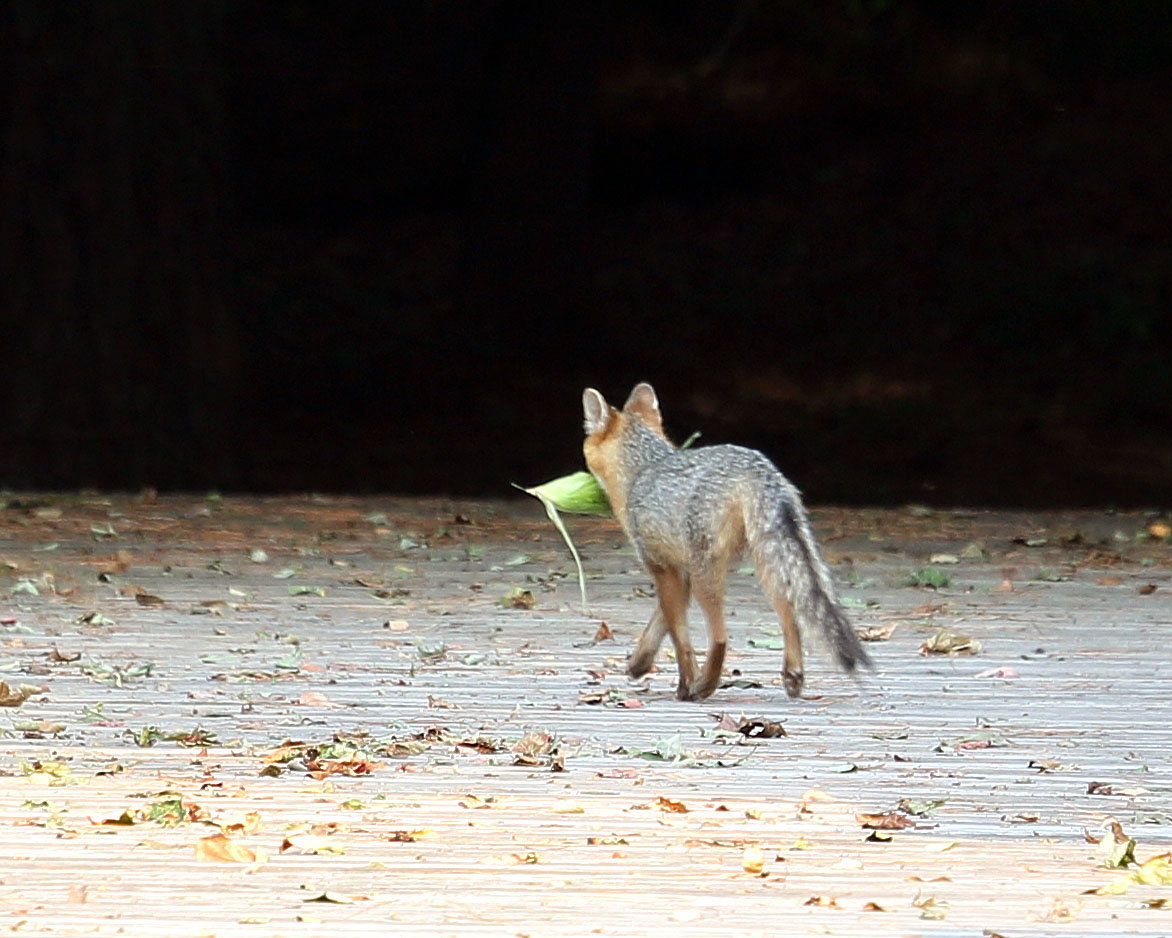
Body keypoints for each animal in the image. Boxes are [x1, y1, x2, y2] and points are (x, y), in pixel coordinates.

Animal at [582, 382, 869, 702]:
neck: (643, 470)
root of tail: (757, 468)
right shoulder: (679, 573)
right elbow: (661, 624)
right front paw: (639, 663)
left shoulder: (663, 567)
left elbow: (680, 638)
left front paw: (686, 685)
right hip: (767, 562)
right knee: (791, 616)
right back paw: (792, 677)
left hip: (709, 575)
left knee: (720, 637)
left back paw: (704, 686)